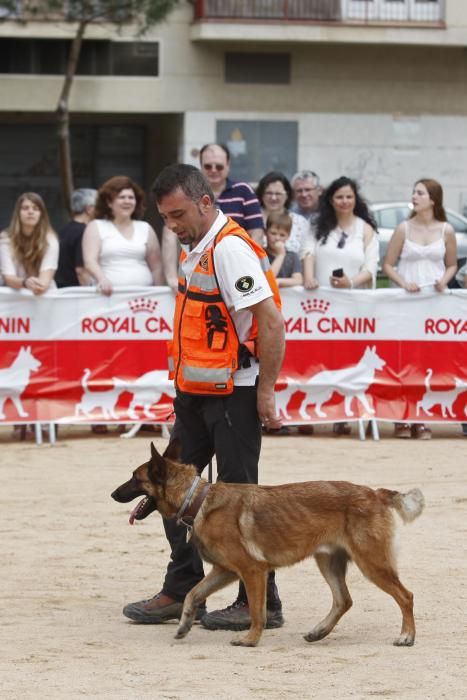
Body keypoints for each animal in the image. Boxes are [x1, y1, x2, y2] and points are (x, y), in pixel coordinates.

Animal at [111, 440, 426, 648]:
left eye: (134, 478)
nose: (113, 494)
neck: (197, 499)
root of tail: (376, 493)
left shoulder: (253, 572)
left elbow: (256, 611)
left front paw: (251, 638)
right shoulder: (225, 571)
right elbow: (192, 593)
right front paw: (185, 623)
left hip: (372, 564)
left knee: (406, 596)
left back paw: (407, 636)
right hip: (328, 562)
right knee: (343, 600)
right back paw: (319, 632)